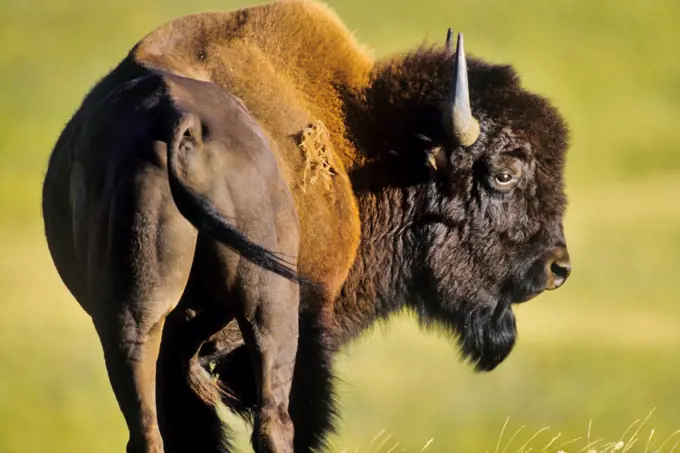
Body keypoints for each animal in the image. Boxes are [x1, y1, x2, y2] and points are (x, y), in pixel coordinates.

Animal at [42, 0, 572, 452]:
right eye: (503, 174)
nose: (557, 267)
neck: (366, 139)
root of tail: (180, 121)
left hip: (132, 318)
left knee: (147, 429)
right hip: (270, 310)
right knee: (276, 422)